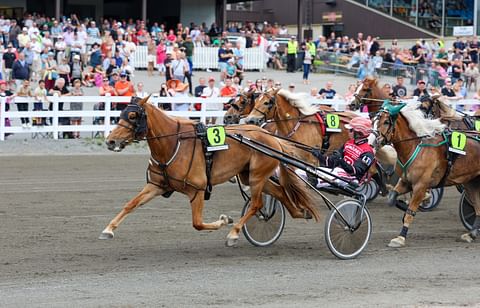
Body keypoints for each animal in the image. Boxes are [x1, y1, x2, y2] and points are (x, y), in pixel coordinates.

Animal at [101, 95, 320, 245]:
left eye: (133, 115)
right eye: (120, 114)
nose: (110, 141)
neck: (173, 143)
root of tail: (271, 136)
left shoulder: (197, 190)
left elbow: (197, 223)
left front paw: (224, 221)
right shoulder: (157, 185)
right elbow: (131, 204)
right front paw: (108, 229)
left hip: (257, 176)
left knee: (256, 204)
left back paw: (234, 233)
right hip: (250, 176)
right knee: (280, 192)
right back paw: (299, 212)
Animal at [376, 102, 480, 247]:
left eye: (386, 122)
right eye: (376, 120)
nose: (375, 140)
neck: (415, 146)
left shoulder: (420, 185)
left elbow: (410, 211)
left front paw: (400, 237)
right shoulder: (406, 181)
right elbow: (392, 198)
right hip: (471, 182)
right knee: (477, 207)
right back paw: (472, 234)